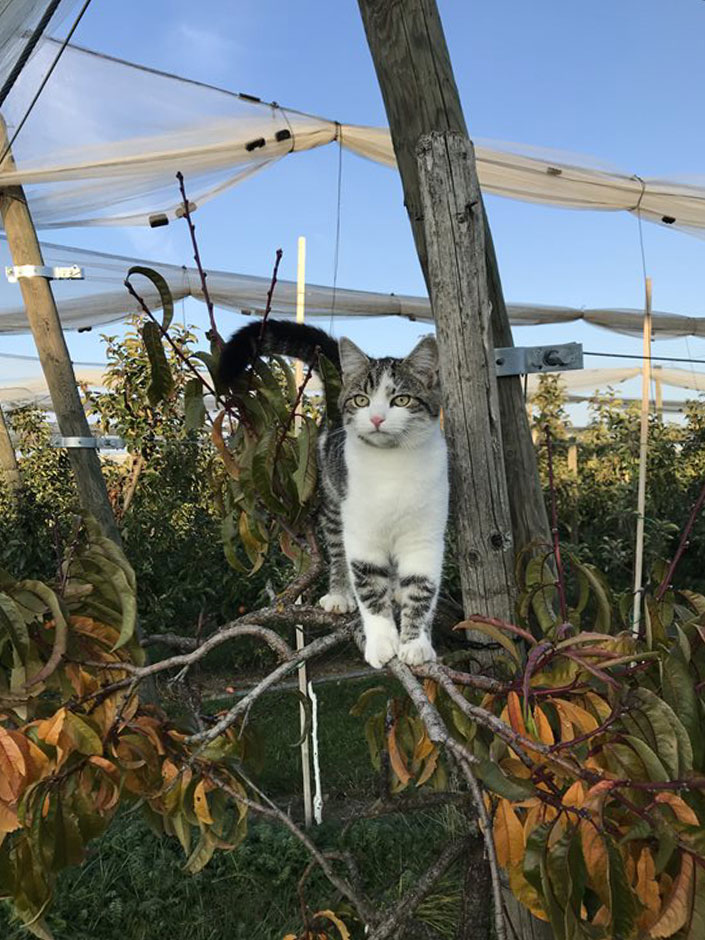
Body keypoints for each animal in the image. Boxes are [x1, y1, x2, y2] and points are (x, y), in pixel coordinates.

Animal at [220, 324, 448, 668]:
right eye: (362, 400)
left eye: (402, 399)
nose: (377, 418)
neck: (392, 464)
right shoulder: (361, 535)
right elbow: (368, 586)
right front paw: (381, 642)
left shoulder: (425, 534)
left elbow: (422, 587)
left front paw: (415, 642)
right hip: (332, 496)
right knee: (339, 550)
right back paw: (340, 594)